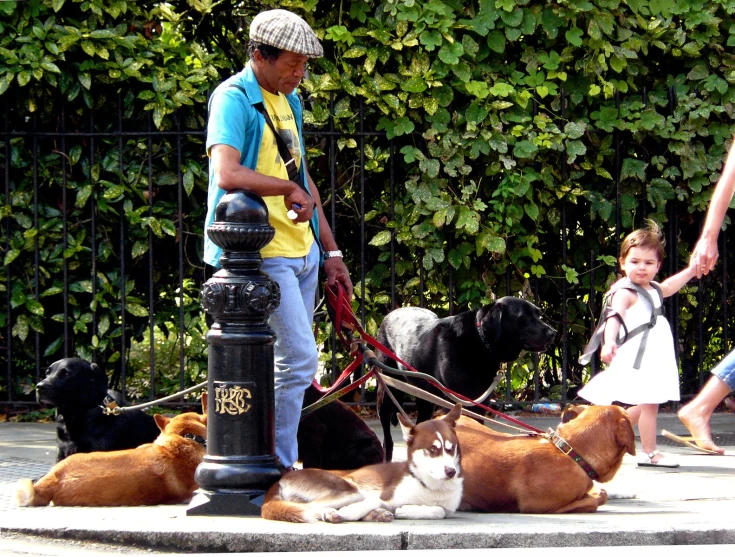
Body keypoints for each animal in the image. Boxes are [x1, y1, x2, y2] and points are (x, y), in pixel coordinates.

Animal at [262, 402, 462, 524]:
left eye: (451, 448)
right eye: (433, 449)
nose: (451, 472)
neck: (429, 486)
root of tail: (283, 478)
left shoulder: (446, 508)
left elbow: (439, 511)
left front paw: (408, 510)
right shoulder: (381, 495)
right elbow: (372, 502)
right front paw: (348, 512)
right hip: (347, 490)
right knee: (308, 507)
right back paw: (332, 513)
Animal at [376, 298, 556, 458]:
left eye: (538, 314)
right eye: (524, 316)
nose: (553, 333)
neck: (480, 342)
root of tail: (390, 314)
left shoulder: (480, 404)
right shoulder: (453, 402)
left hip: (425, 398)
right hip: (386, 391)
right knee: (387, 437)